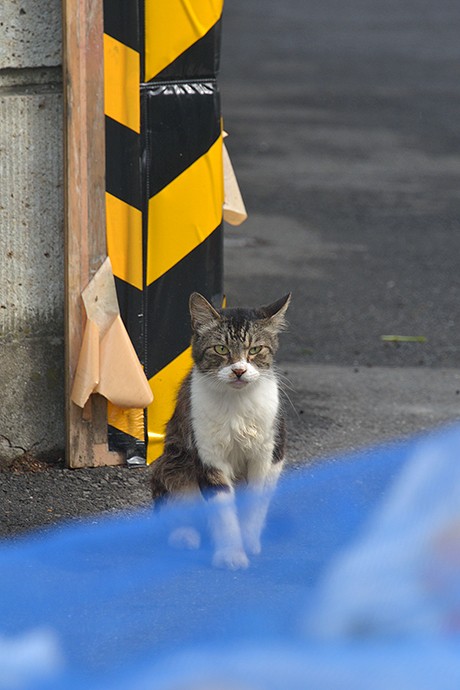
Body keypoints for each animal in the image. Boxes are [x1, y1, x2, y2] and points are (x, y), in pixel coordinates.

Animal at [153, 288, 292, 564]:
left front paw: (249, 542)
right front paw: (231, 554)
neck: (236, 404)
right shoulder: (208, 456)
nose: (239, 370)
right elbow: (223, 511)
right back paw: (185, 536)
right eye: (221, 348)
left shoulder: (267, 454)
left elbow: (254, 504)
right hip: (173, 464)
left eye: (255, 349)